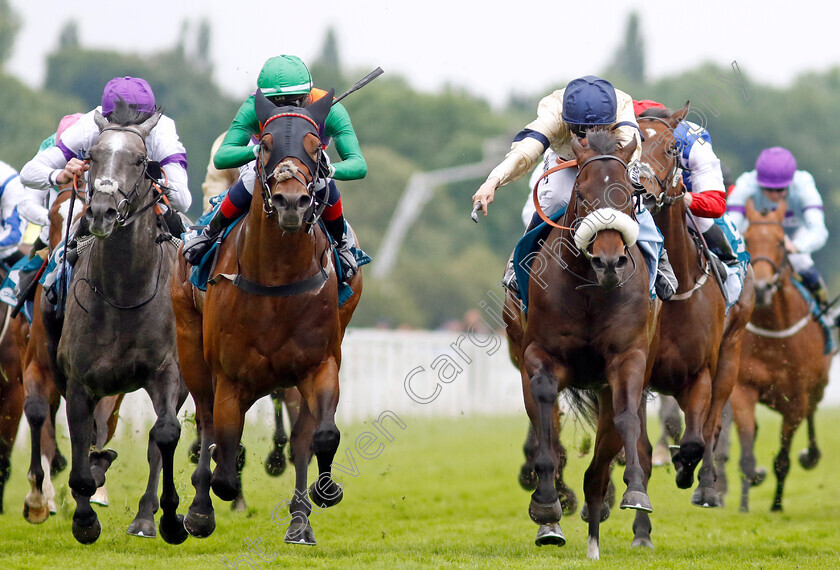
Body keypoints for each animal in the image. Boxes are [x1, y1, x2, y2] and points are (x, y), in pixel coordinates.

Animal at [502, 130, 660, 560]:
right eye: (584, 195)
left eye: (628, 195)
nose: (609, 261)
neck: (590, 290)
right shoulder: (539, 356)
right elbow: (545, 420)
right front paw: (545, 505)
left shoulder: (628, 359)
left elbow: (627, 418)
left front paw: (635, 492)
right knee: (551, 435)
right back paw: (552, 522)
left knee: (598, 469)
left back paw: (594, 536)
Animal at [732, 199, 832, 510]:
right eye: (748, 238)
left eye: (780, 242)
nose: (762, 288)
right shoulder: (743, 389)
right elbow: (747, 454)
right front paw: (746, 500)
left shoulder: (796, 402)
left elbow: (783, 460)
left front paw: (776, 506)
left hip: (817, 388)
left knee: (812, 414)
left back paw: (811, 455)